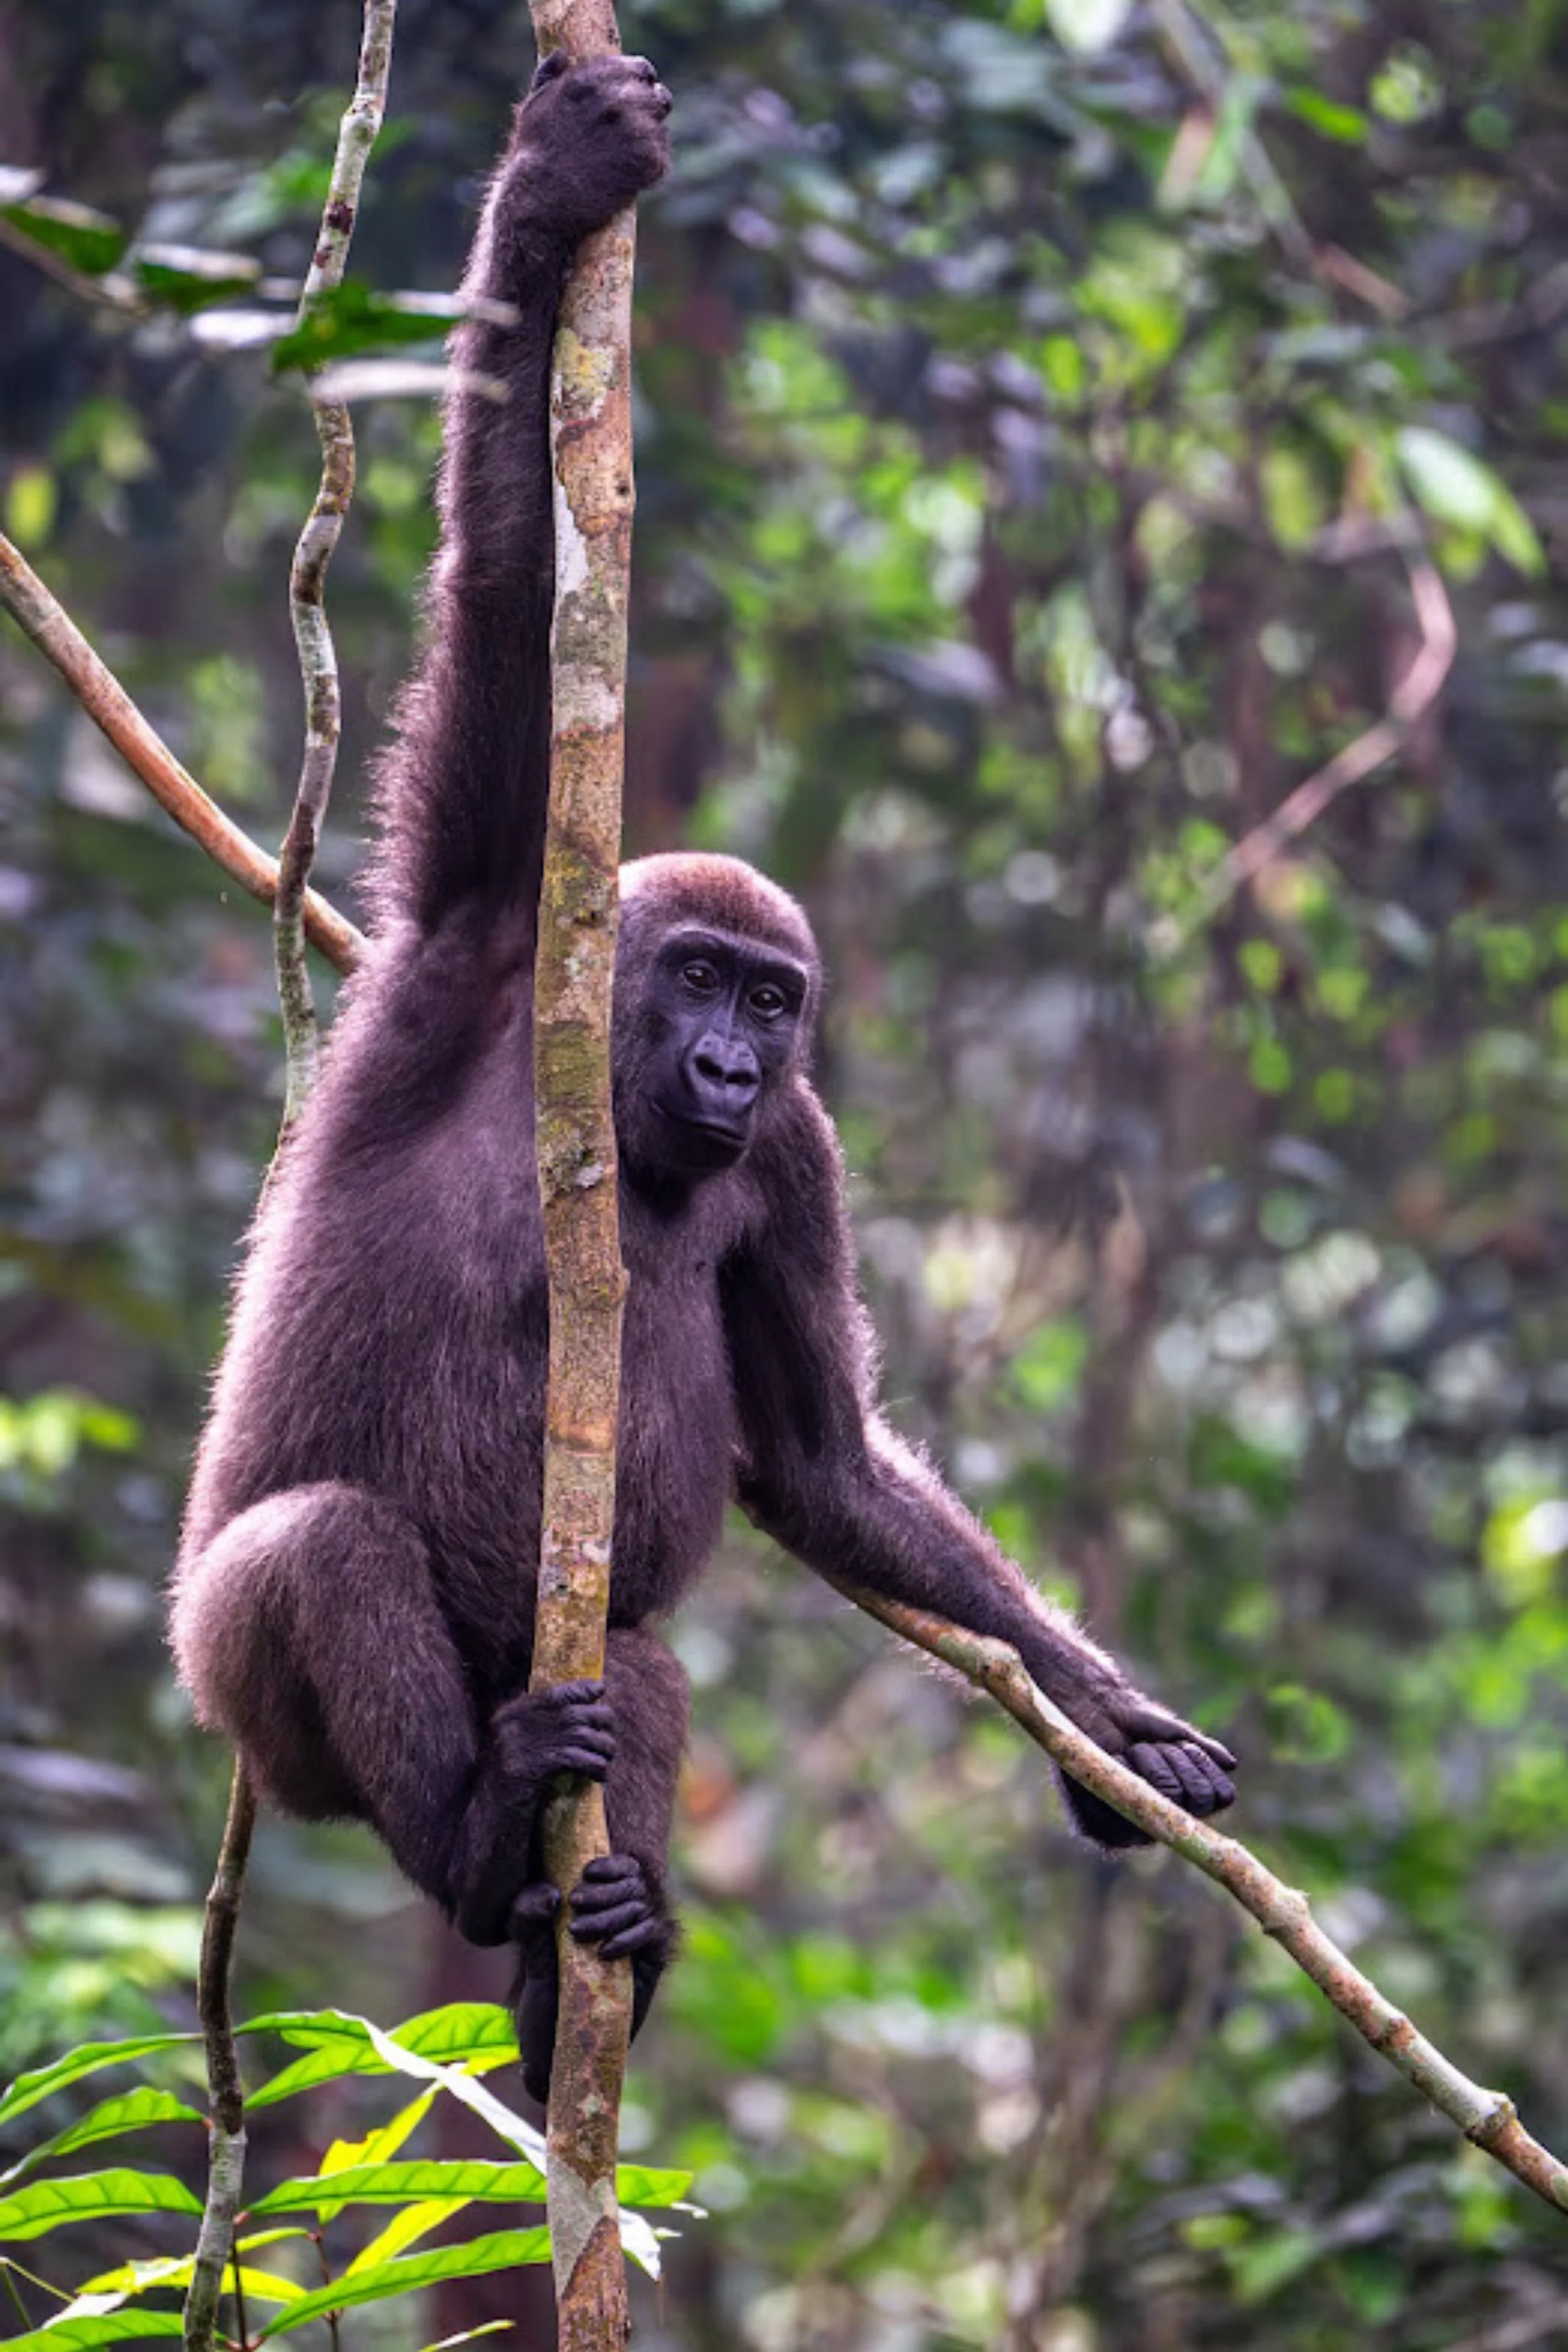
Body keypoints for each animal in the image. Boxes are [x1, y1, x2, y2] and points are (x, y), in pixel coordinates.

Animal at [170, 51, 1237, 2106]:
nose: (738, 1060)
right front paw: (547, 197)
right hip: (246, 1713)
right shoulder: (477, 942)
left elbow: (824, 1463)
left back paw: (577, 1959)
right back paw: (474, 1837)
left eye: (774, 996)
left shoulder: (800, 1153)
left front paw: (1109, 1725)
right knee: (316, 1550)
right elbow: (513, 592)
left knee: (644, 1666)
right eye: (691, 982)